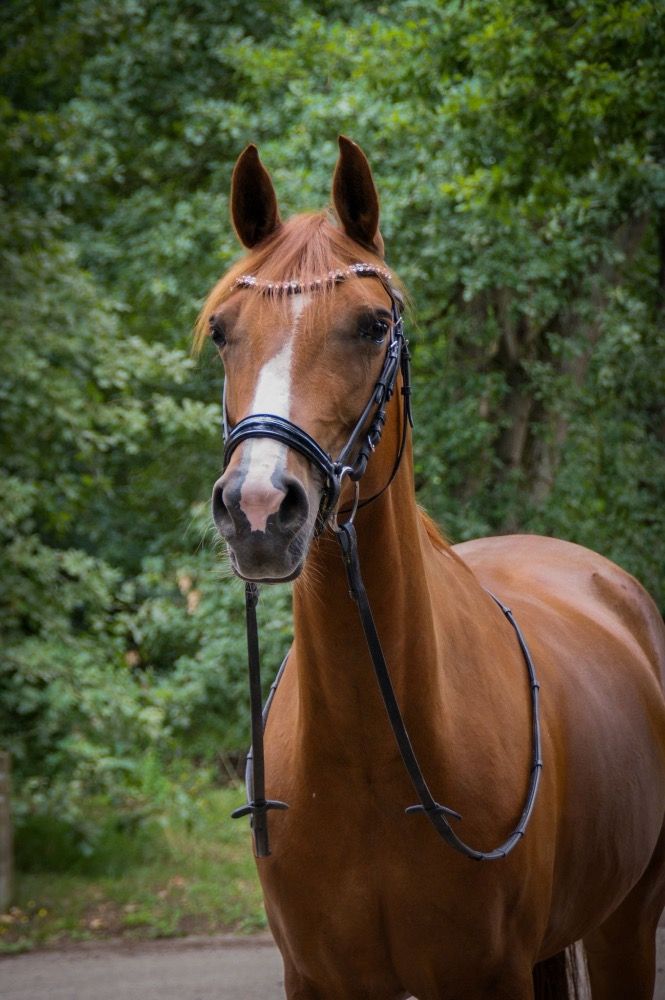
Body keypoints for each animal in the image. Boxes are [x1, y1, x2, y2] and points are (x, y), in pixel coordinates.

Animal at [196, 136, 665, 999]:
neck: (368, 760)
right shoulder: (317, 979)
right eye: (221, 330)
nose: (258, 508)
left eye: (372, 323)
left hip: (624, 924)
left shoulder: (489, 974)